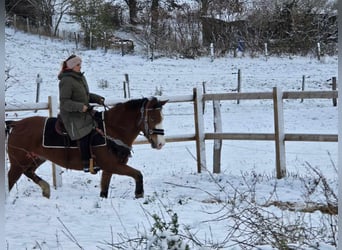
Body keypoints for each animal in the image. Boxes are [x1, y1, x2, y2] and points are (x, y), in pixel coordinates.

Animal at [6, 97, 168, 199]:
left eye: (162, 118)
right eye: (152, 118)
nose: (161, 143)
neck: (111, 130)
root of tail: (17, 124)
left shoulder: (109, 169)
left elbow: (104, 191)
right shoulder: (112, 165)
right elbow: (138, 174)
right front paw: (139, 194)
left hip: (35, 158)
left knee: (29, 172)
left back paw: (46, 189)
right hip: (17, 163)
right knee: (10, 180)